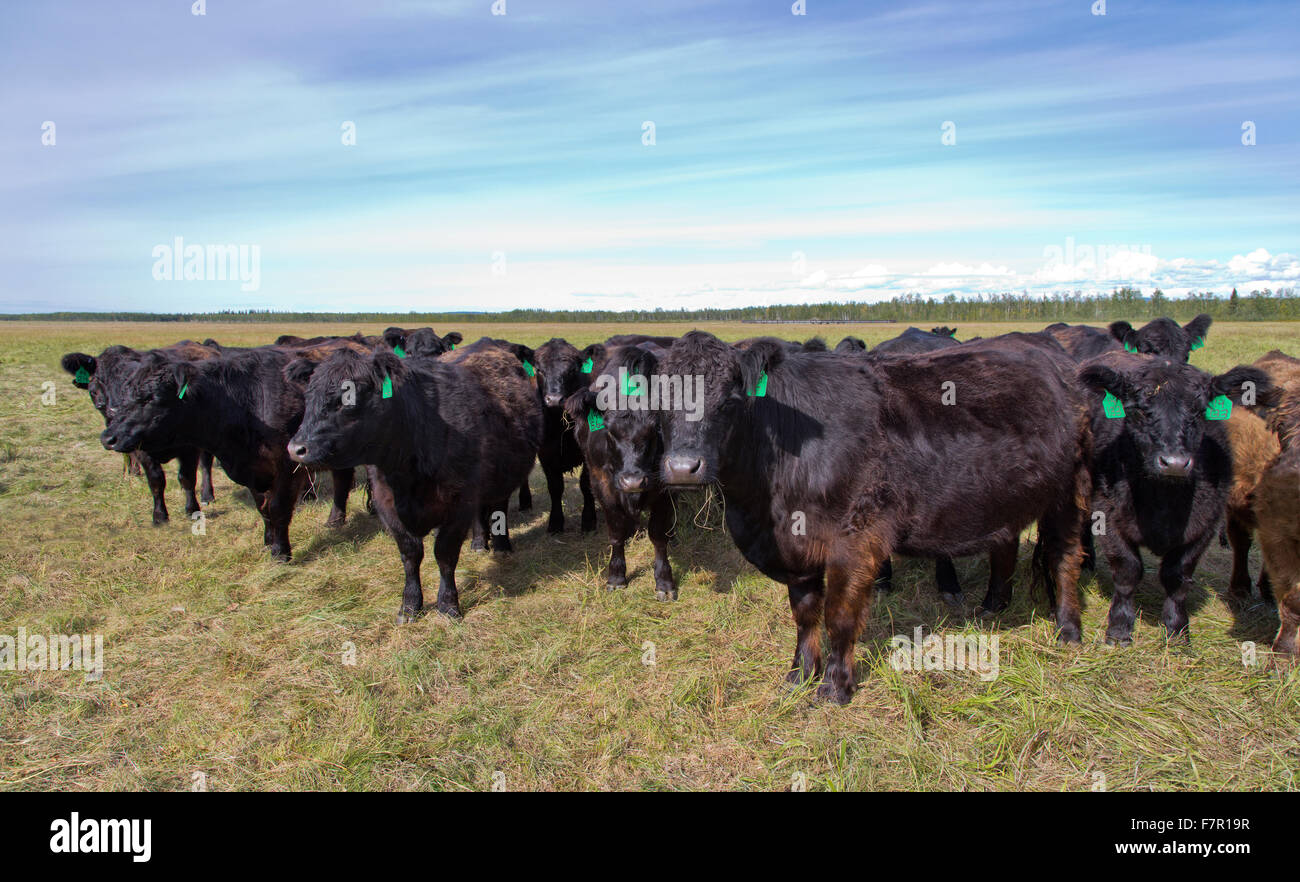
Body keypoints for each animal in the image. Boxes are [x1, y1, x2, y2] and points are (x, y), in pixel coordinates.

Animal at [61, 343, 217, 525]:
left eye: (131, 382)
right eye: (99, 381)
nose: (113, 410)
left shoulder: (189, 447)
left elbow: (187, 478)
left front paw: (193, 510)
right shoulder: (141, 449)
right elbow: (156, 481)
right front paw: (159, 516)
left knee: (205, 463)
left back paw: (207, 494)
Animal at [564, 340, 681, 603]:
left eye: (655, 427)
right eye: (608, 428)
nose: (632, 482)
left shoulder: (665, 490)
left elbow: (658, 534)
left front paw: (664, 581)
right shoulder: (602, 484)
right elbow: (616, 533)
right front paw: (616, 577)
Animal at [655, 330, 1092, 702]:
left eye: (729, 402)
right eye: (661, 402)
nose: (682, 468)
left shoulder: (855, 540)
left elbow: (838, 617)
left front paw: (835, 686)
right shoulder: (797, 549)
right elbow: (805, 614)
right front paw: (800, 674)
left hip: (1069, 494)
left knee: (1065, 557)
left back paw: (1068, 630)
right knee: (1006, 543)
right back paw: (992, 606)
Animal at [1076, 351, 1268, 650]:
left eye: (1199, 411)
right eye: (1138, 410)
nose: (1174, 463)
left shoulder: (1204, 526)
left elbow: (1177, 577)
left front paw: (1177, 630)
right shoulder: (1109, 516)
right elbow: (1128, 571)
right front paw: (1119, 628)